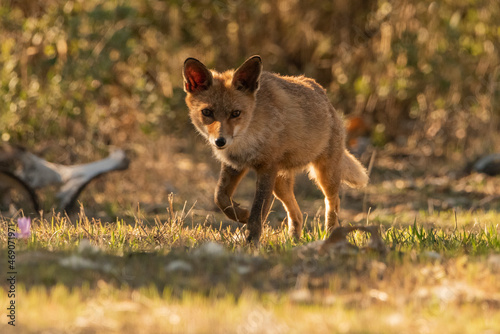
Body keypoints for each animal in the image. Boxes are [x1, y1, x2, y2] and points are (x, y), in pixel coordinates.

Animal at [184, 55, 368, 243]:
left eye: (236, 113)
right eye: (207, 112)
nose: (220, 141)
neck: (248, 133)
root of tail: (324, 96)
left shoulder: (267, 167)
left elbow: (258, 213)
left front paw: (251, 241)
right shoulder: (235, 164)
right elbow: (220, 198)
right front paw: (242, 215)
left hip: (324, 176)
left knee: (332, 203)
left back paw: (331, 234)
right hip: (280, 184)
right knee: (297, 214)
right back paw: (293, 240)